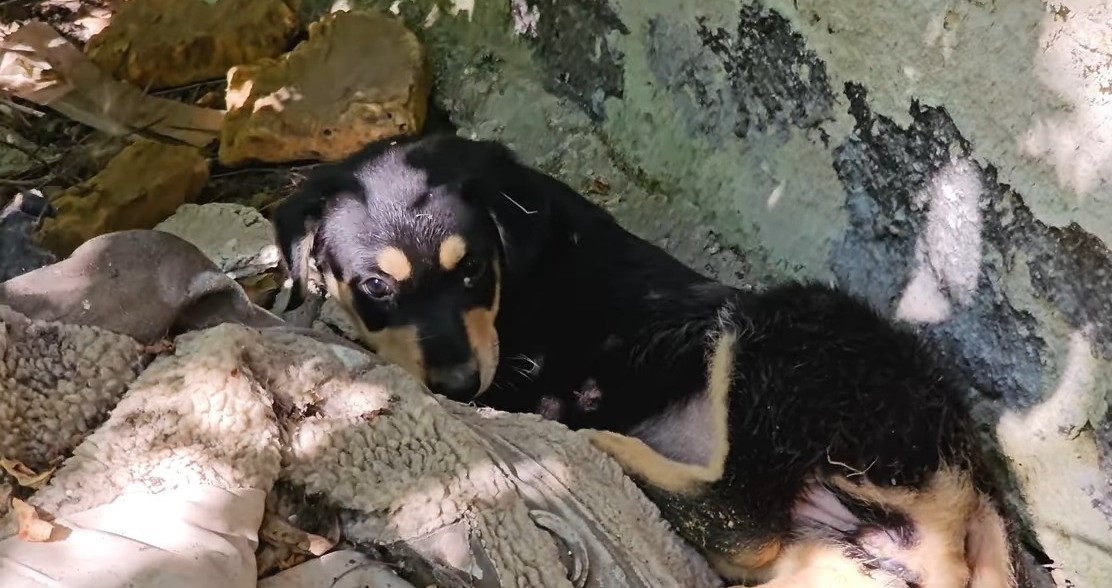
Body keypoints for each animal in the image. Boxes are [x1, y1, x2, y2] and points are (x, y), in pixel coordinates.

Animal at [273, 132, 1027, 586]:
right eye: (376, 286)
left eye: (474, 269)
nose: (459, 384)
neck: (524, 273)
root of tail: (972, 482)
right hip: (825, 553)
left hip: (776, 348)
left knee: (738, 518)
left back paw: (607, 452)